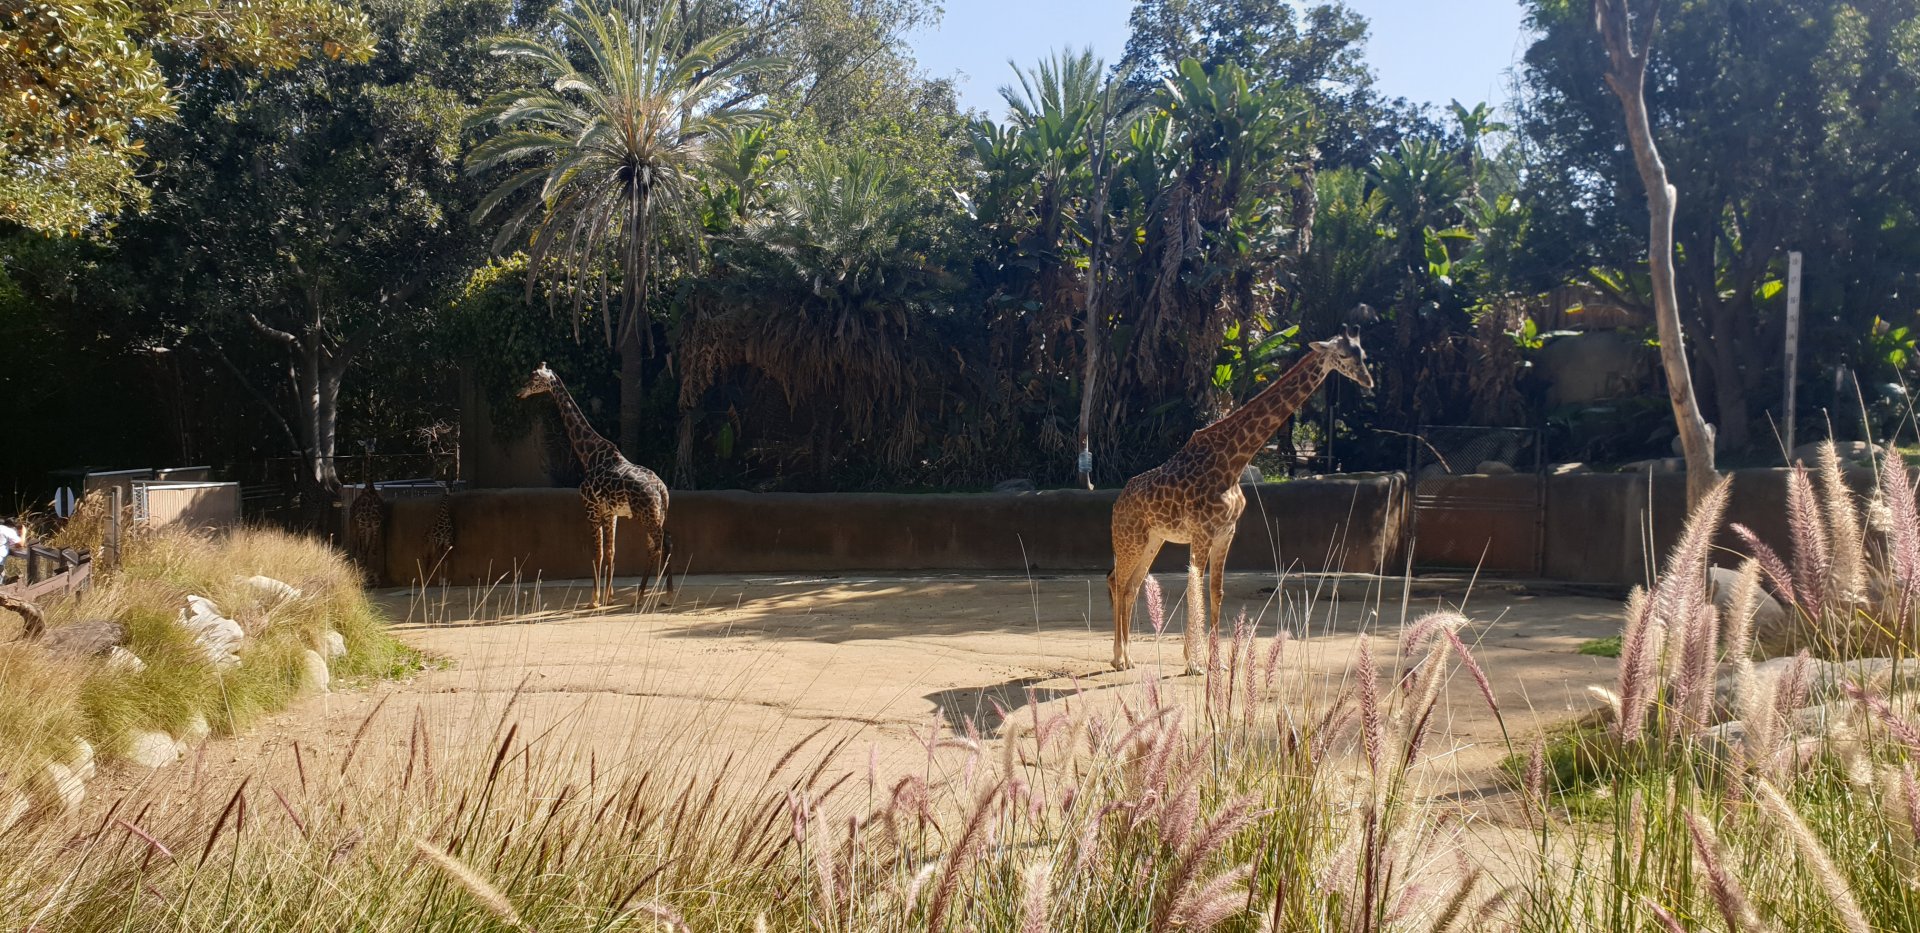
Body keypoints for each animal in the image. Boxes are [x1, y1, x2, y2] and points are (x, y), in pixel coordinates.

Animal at [518, 363, 673, 607]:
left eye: (534, 378)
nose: (519, 393)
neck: (589, 454)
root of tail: (661, 488)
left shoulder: (590, 507)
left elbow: (596, 552)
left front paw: (594, 599)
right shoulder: (611, 512)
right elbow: (611, 551)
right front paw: (608, 596)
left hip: (645, 514)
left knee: (661, 544)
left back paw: (650, 595)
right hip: (658, 513)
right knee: (661, 543)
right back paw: (656, 594)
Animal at [1107, 328, 1373, 673]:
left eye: (1362, 355)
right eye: (1342, 355)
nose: (1368, 381)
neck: (1233, 461)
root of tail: (1117, 503)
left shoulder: (1225, 533)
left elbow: (1214, 590)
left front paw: (1216, 662)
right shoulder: (1202, 533)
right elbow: (1195, 590)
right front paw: (1194, 663)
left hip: (1153, 539)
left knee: (1131, 586)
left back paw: (1127, 657)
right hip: (1130, 539)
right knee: (1117, 581)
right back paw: (1119, 657)